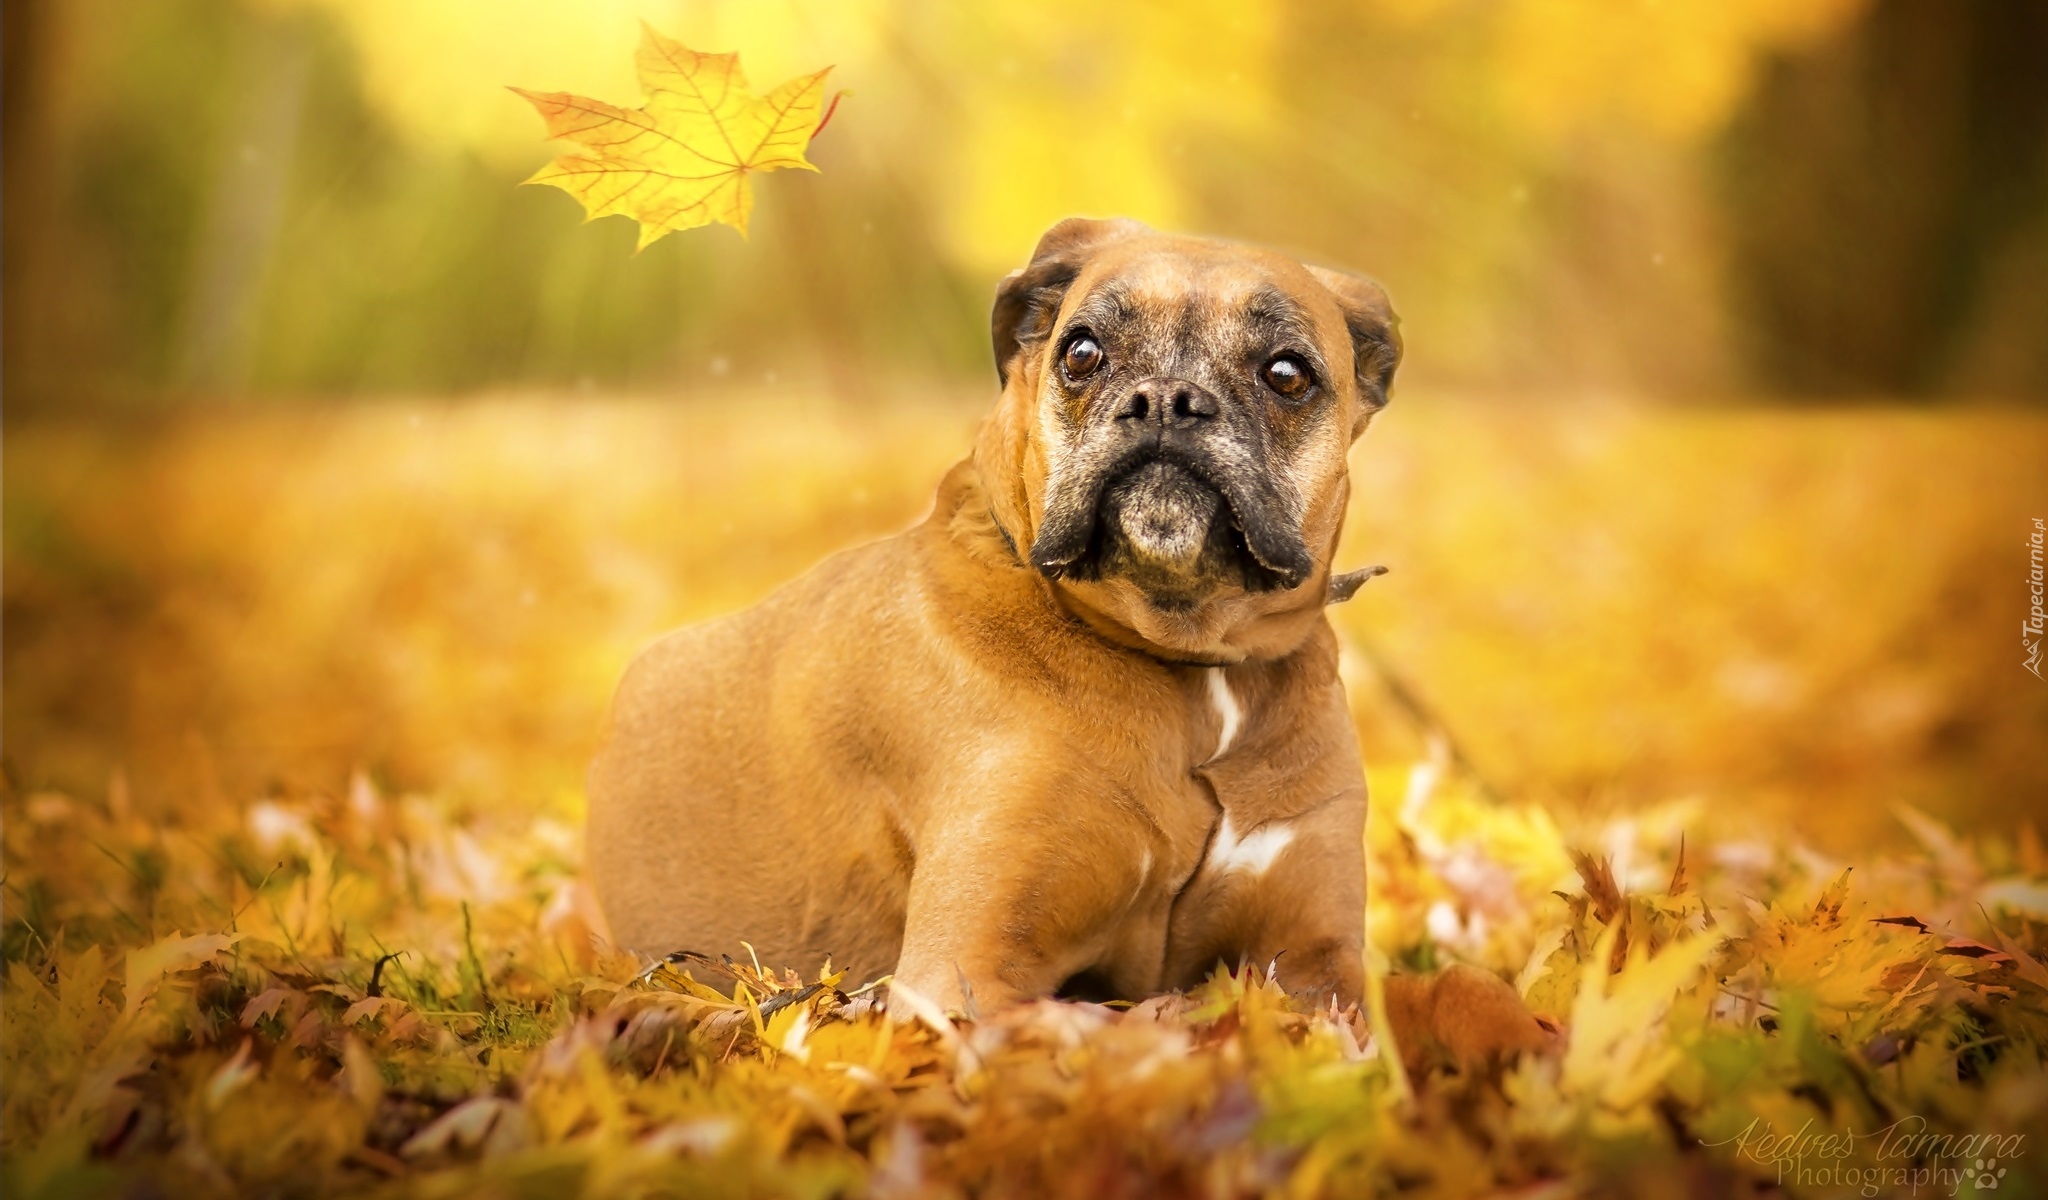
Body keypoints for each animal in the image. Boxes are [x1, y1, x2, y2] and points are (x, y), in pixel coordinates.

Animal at [593, 217, 1548, 1064]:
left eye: (1287, 373)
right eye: (1082, 352)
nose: (1168, 401)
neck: (1186, 667)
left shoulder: (1319, 960)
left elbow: (1456, 987)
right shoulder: (967, 975)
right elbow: (1145, 1025)